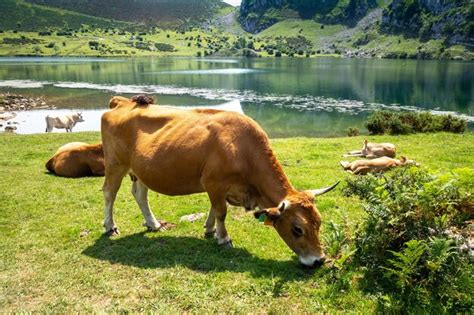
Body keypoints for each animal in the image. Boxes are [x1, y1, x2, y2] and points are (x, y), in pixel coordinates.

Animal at [102, 95, 338, 266]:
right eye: (297, 229)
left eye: (319, 222)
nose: (319, 260)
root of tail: (122, 101)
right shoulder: (214, 183)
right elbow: (221, 212)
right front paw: (224, 238)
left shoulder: (219, 187)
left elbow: (214, 209)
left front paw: (210, 230)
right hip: (115, 165)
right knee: (109, 193)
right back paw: (110, 226)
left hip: (142, 170)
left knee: (140, 195)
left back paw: (153, 224)